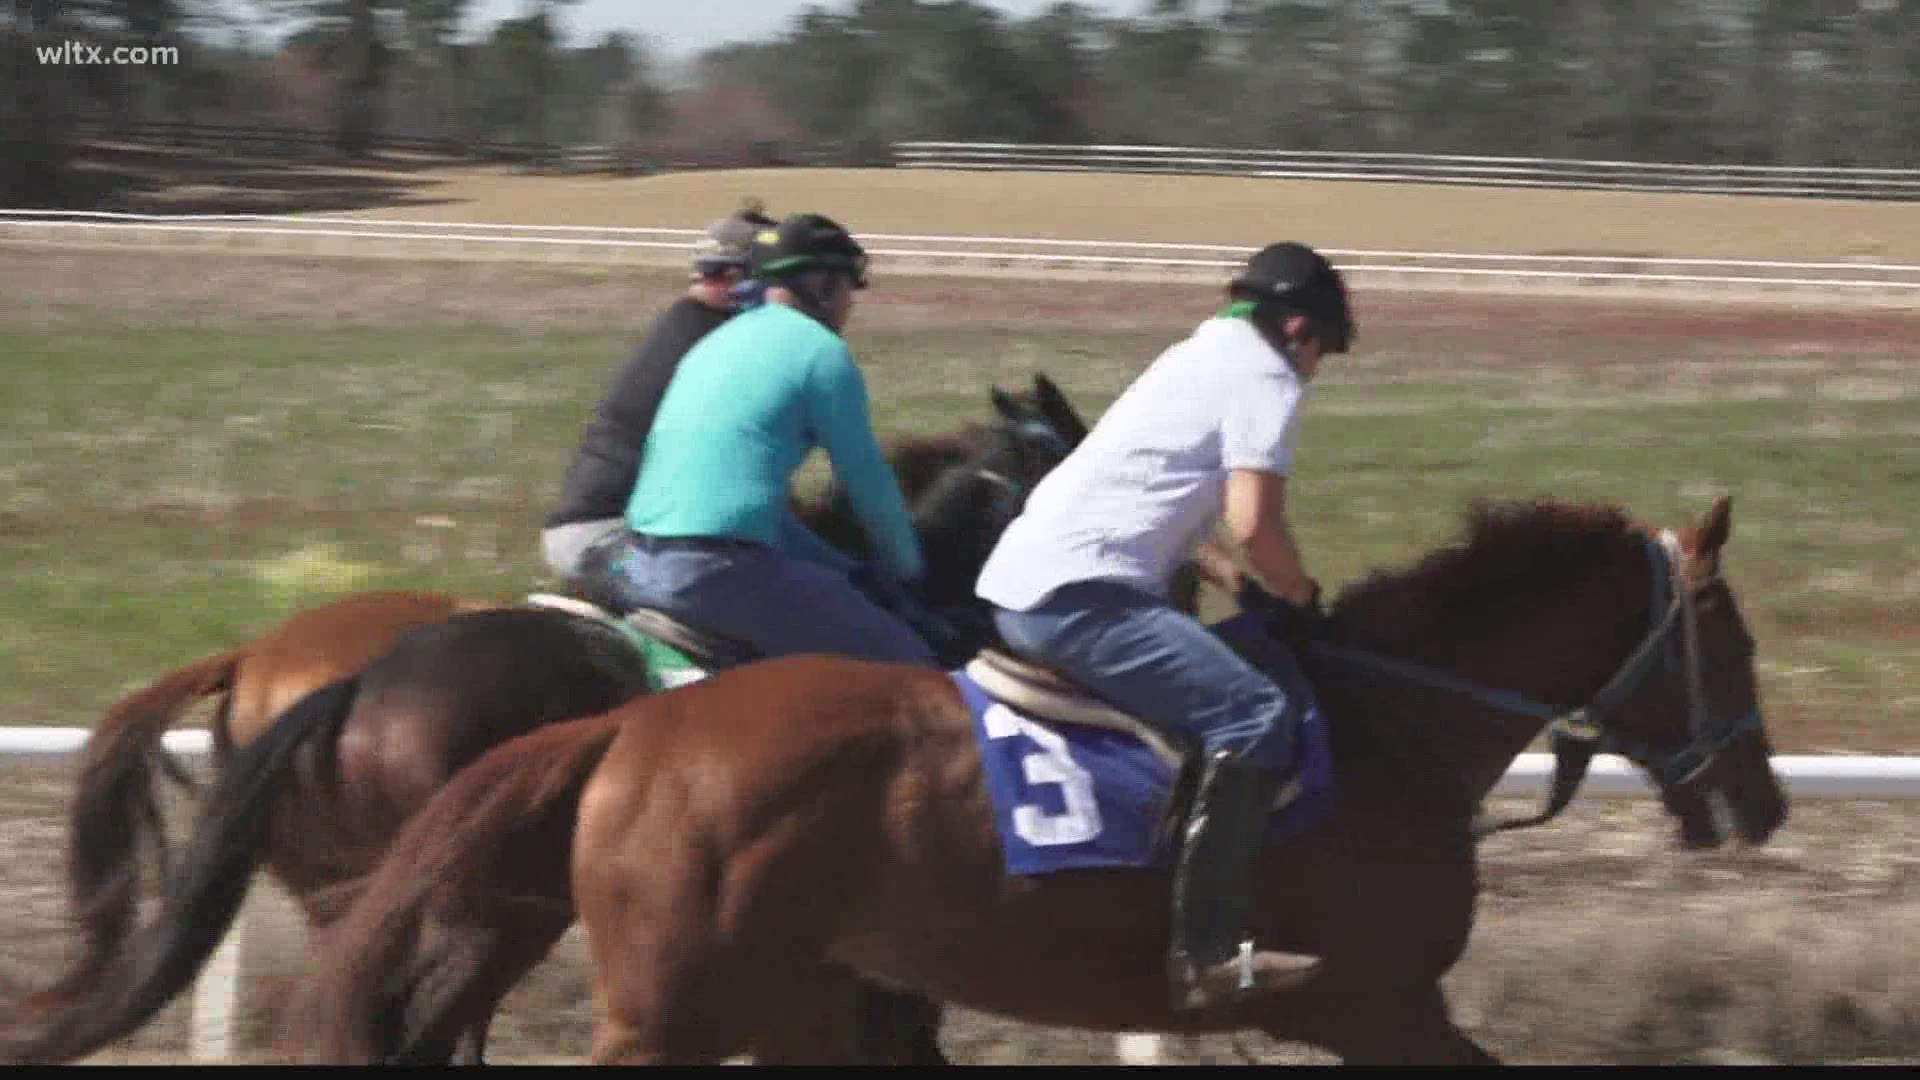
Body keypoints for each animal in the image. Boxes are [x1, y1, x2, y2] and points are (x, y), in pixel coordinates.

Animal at [278, 495, 1789, 1060]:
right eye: (1732, 637)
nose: (1764, 799)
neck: (1395, 728)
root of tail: (633, 733)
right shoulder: (1374, 999)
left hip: (788, 989)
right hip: (676, 1004)